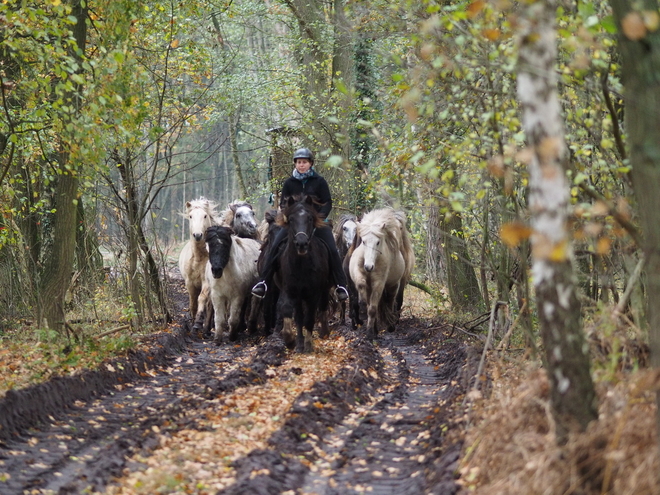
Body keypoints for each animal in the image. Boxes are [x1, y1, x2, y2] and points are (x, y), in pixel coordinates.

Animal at [278, 195, 330, 352]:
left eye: (310, 219)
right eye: (291, 219)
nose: (301, 244)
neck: (301, 266)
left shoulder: (313, 293)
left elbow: (310, 318)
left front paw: (308, 344)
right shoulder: (291, 291)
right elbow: (293, 314)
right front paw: (293, 342)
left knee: (323, 306)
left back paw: (324, 332)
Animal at [348, 207, 416, 340]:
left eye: (378, 242)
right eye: (363, 241)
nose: (368, 267)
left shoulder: (379, 283)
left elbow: (373, 309)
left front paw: (370, 333)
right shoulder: (360, 276)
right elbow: (361, 286)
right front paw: (362, 303)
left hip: (392, 285)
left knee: (389, 302)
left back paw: (389, 326)